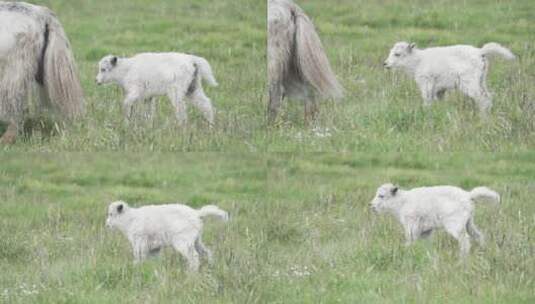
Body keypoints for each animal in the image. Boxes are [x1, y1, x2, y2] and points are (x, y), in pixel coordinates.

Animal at [370, 183, 500, 256]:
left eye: (381, 196)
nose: (371, 206)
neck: (402, 202)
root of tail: (468, 196)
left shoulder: (411, 226)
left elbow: (410, 241)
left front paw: (405, 252)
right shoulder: (425, 231)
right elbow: (426, 245)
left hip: (455, 225)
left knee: (465, 241)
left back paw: (461, 260)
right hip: (469, 222)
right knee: (478, 235)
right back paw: (482, 251)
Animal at [386, 41, 516, 114]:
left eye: (397, 54)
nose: (385, 64)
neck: (418, 61)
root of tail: (480, 52)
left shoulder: (426, 84)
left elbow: (427, 101)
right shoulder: (439, 89)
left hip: (469, 82)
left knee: (482, 99)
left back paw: (482, 119)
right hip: (481, 80)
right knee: (488, 97)